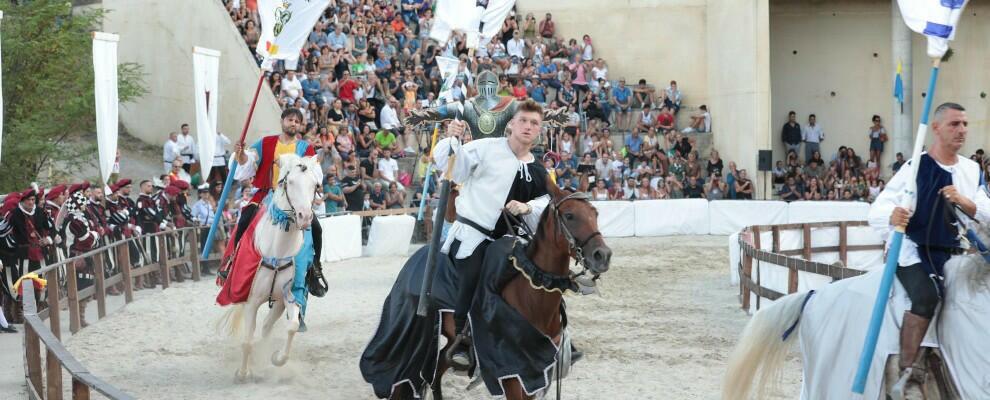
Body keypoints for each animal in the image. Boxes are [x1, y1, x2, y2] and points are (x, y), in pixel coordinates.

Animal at [219, 152, 324, 382]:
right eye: (290, 182)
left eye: (315, 185)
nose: (305, 217)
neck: (278, 251)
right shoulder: (250, 299)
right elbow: (247, 340)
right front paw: (243, 373)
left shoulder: (290, 296)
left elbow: (292, 327)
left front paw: (276, 359)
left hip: (277, 303)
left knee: (267, 326)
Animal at [394, 184, 612, 396]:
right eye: (569, 215)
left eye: (595, 213)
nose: (602, 256)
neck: (532, 291)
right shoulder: (512, 373)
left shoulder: (536, 370)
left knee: (436, 373)